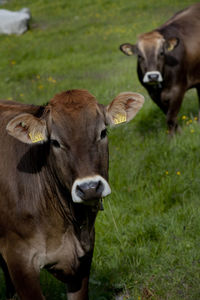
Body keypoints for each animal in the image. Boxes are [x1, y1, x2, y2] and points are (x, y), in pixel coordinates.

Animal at [119, 2, 200, 134]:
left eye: (161, 53)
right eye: (139, 56)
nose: (153, 76)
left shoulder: (178, 90)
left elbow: (171, 118)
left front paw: (173, 137)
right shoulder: (153, 95)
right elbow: (168, 116)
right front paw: (178, 133)